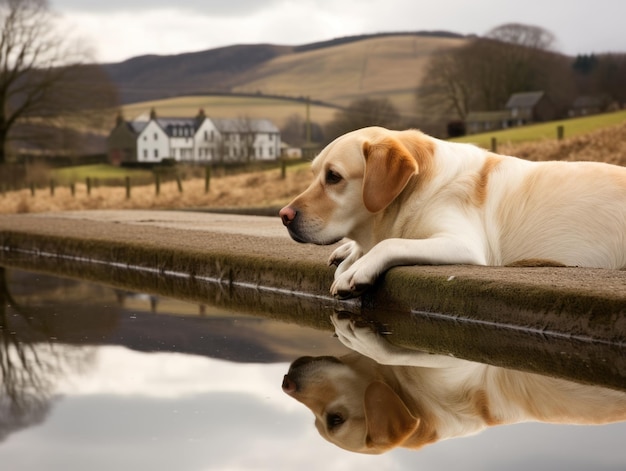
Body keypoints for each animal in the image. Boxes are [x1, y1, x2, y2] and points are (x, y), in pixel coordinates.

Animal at [278, 125, 624, 296]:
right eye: (314, 173)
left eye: (334, 176)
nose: (284, 216)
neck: (419, 187)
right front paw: (349, 254)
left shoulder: (463, 243)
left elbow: (391, 243)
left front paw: (357, 270)